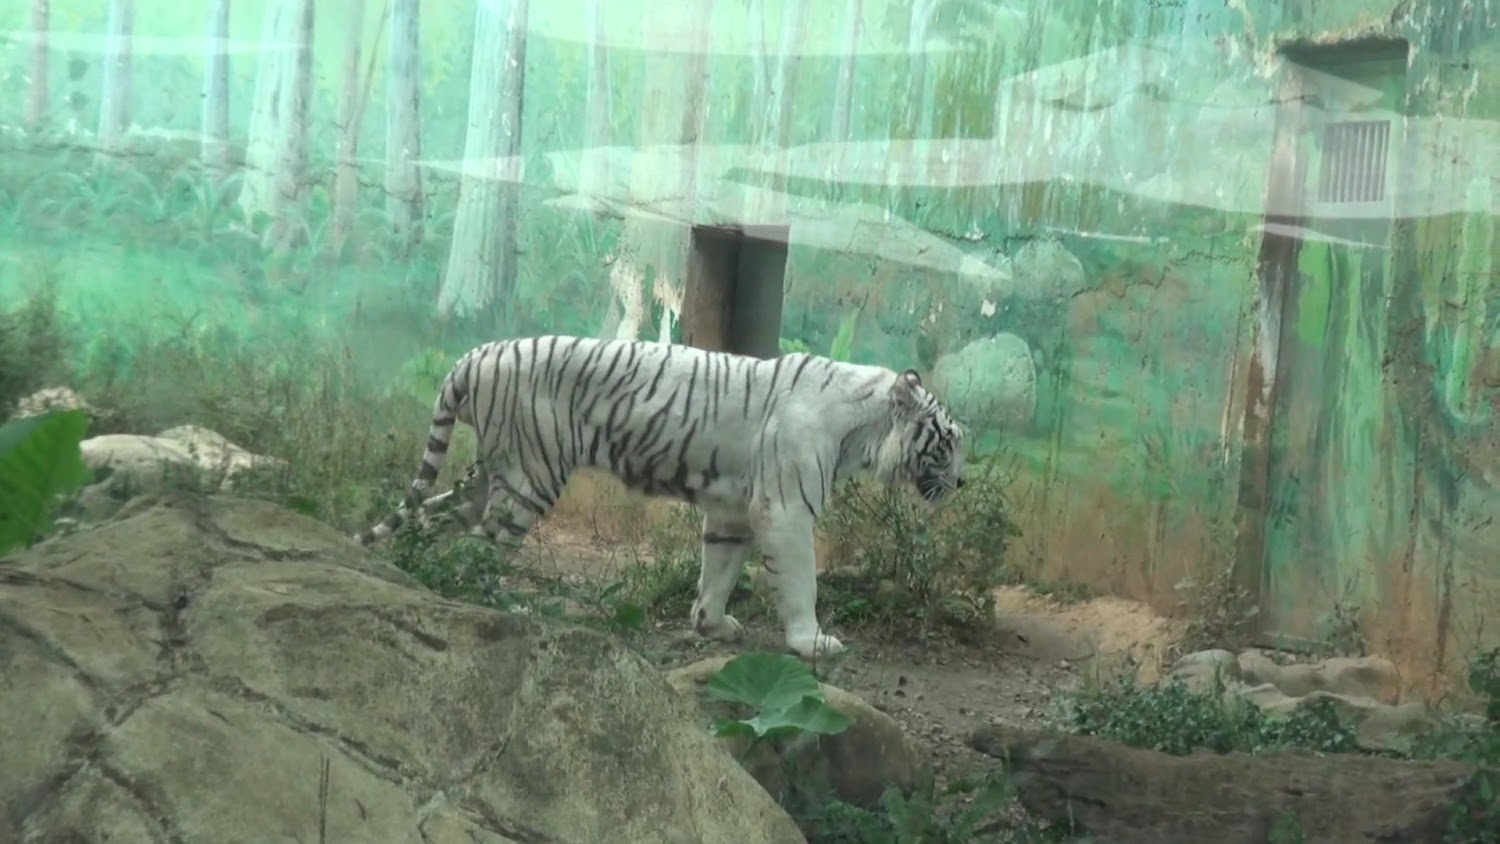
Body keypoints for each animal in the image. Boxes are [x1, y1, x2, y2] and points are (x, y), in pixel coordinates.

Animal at [356, 335, 967, 659]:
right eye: (949, 442)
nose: (962, 483)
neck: (863, 430)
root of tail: (477, 353)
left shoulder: (733, 512)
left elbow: (718, 571)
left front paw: (711, 625)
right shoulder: (786, 510)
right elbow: (800, 582)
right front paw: (811, 641)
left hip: (491, 475)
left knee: (435, 524)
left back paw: (416, 573)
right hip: (530, 478)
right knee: (474, 551)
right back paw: (501, 606)